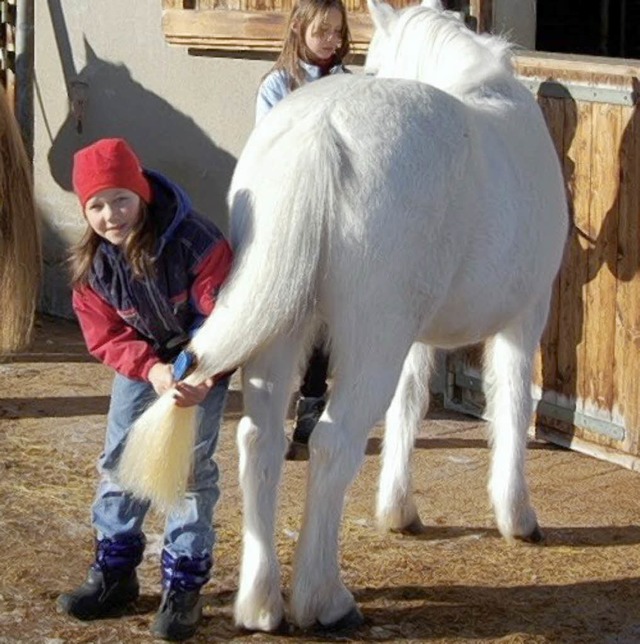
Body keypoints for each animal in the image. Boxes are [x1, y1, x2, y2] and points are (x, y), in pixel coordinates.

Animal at [122, 0, 568, 632]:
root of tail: (319, 130)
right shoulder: (524, 318)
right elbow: (511, 405)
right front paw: (517, 516)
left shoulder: (416, 336)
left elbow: (409, 406)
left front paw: (398, 510)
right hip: (372, 337)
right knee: (333, 442)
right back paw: (323, 600)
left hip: (287, 330)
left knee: (259, 440)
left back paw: (261, 603)